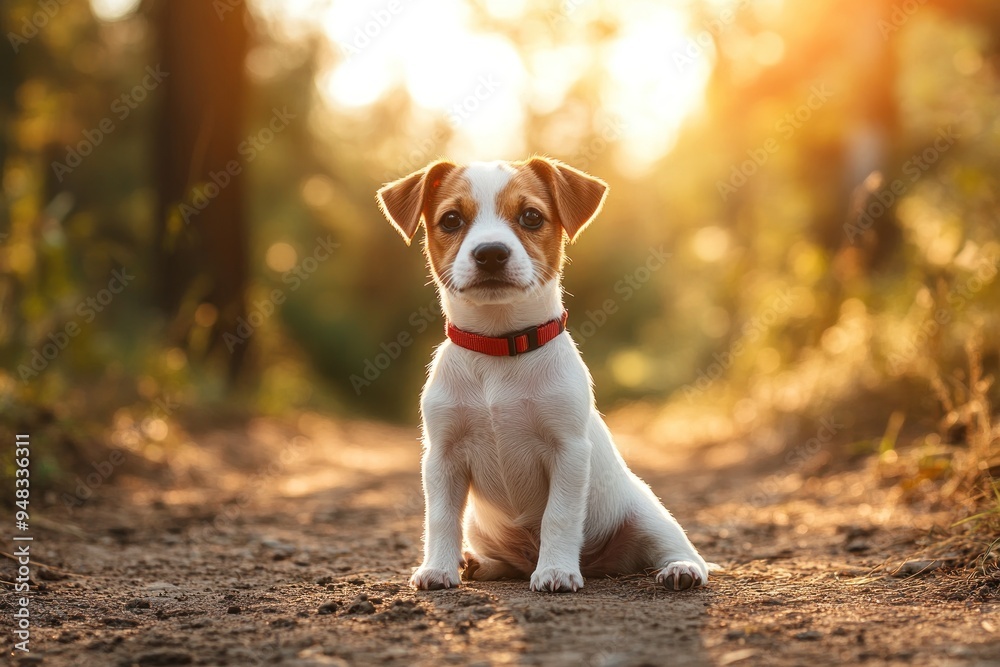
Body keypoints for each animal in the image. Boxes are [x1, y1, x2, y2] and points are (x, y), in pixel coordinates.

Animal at [376, 158, 712, 596]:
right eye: (451, 219)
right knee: (503, 560)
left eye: (531, 216)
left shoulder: (568, 451)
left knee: (675, 546)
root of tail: (600, 563)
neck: (501, 347)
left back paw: (681, 569)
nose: (490, 253)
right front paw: (437, 568)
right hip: (482, 528)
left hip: (647, 515)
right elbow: (440, 518)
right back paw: (480, 563)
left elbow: (560, 515)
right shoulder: (442, 455)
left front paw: (555, 570)